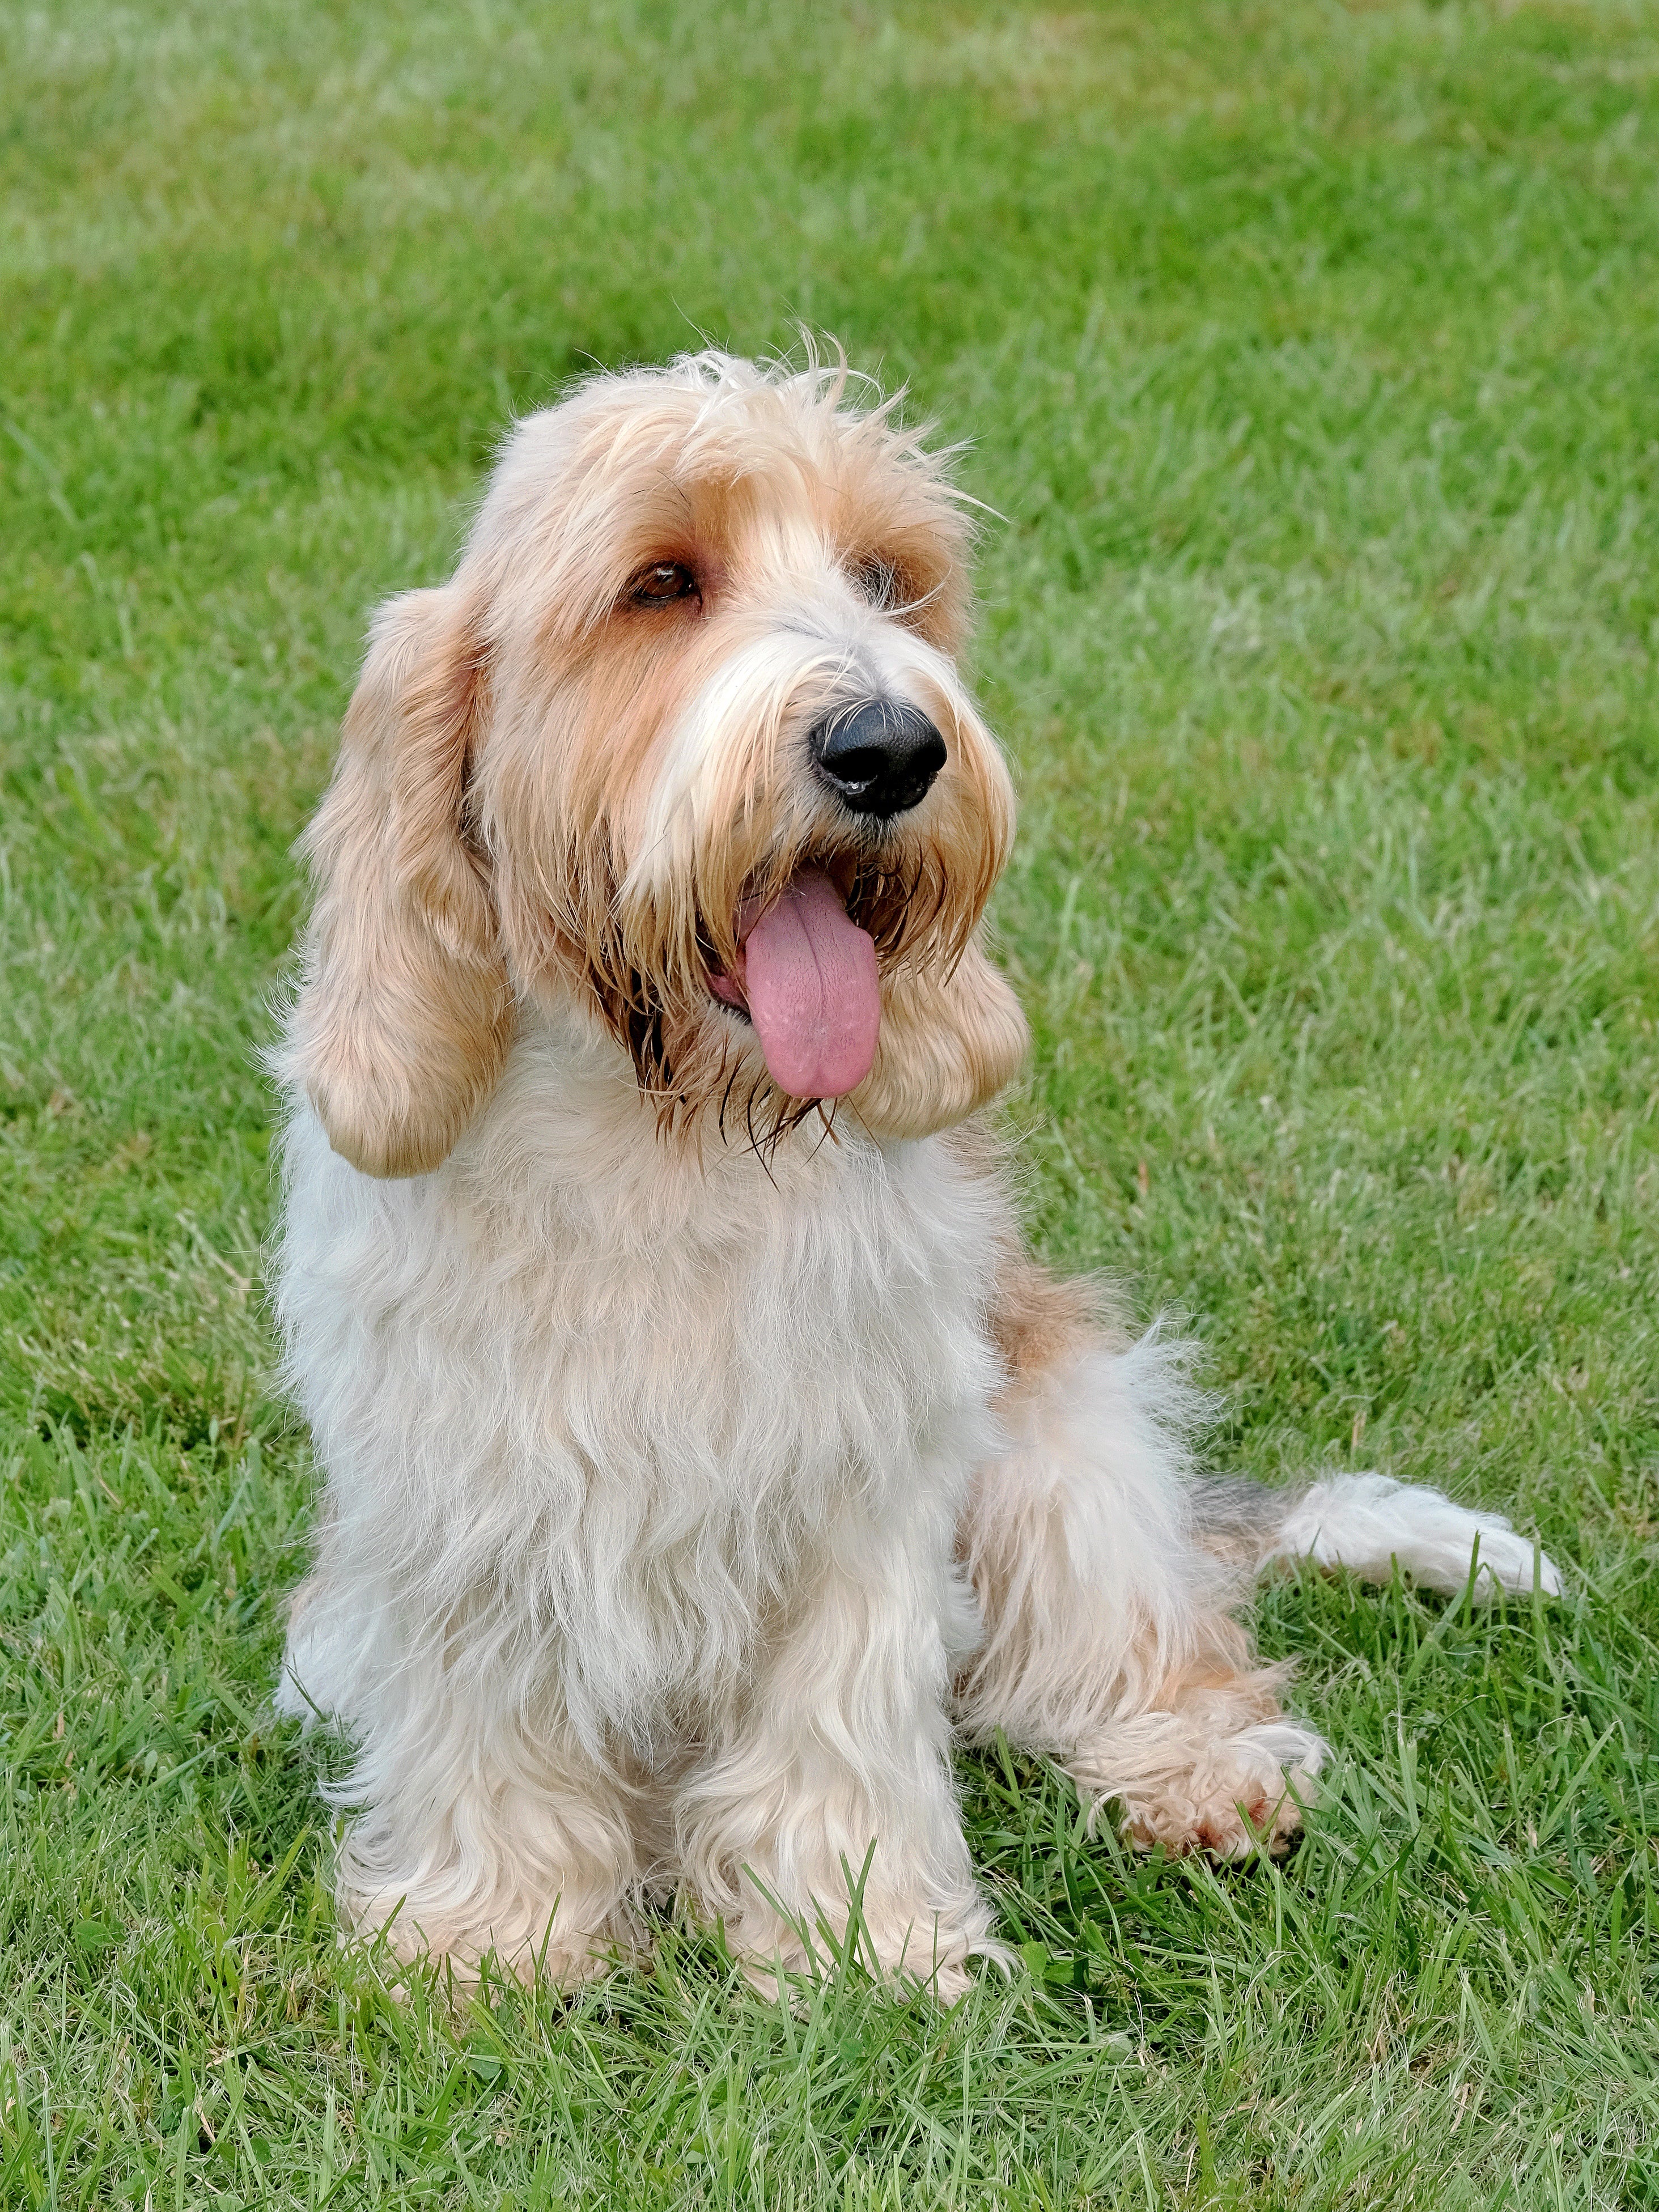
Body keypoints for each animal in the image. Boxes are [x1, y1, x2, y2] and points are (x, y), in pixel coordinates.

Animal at [270, 349, 1557, 2008]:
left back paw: (1201, 1779)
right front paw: (492, 1937)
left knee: (1160, 1637)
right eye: (660, 583)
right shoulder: (459, 1490)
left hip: (1060, 1456)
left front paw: (857, 1947)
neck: (672, 1131)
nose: (886, 750)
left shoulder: (860, 1485)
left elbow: (837, 1724)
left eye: (887, 579)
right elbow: (490, 1727)